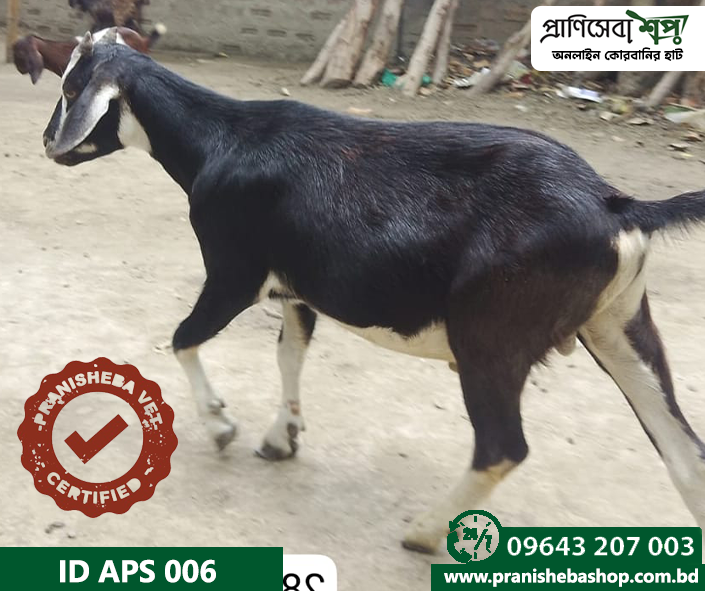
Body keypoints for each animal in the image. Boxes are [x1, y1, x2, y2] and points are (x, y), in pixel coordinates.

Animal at [43, 32, 705, 553]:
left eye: (71, 87)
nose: (49, 144)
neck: (223, 138)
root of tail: (616, 204)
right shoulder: (297, 287)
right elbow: (290, 353)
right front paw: (280, 437)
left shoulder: (235, 272)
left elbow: (184, 338)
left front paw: (222, 425)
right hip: (620, 325)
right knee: (683, 451)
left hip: (491, 336)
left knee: (501, 447)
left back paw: (424, 532)